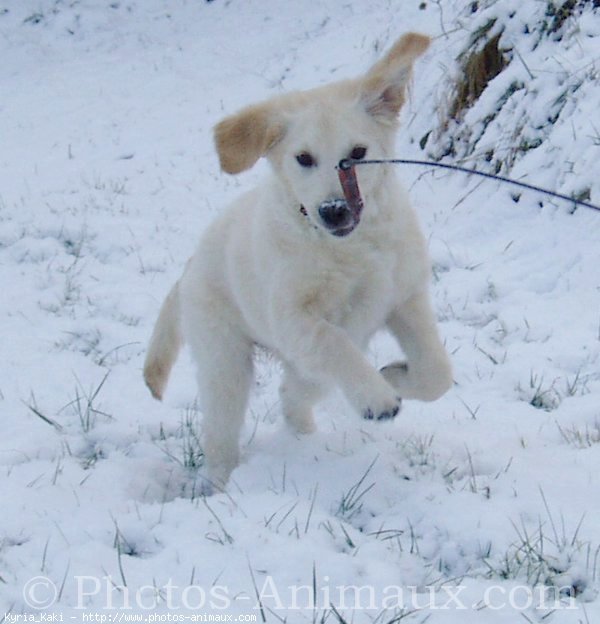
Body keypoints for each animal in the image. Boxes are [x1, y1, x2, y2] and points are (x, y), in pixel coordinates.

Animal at [143, 34, 450, 490]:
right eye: (304, 158)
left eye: (358, 153)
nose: (335, 211)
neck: (347, 248)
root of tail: (189, 269)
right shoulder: (294, 320)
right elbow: (334, 340)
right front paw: (378, 395)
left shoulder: (405, 298)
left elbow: (437, 372)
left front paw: (395, 375)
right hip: (226, 360)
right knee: (221, 431)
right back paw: (223, 486)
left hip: (306, 368)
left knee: (292, 394)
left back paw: (304, 441)